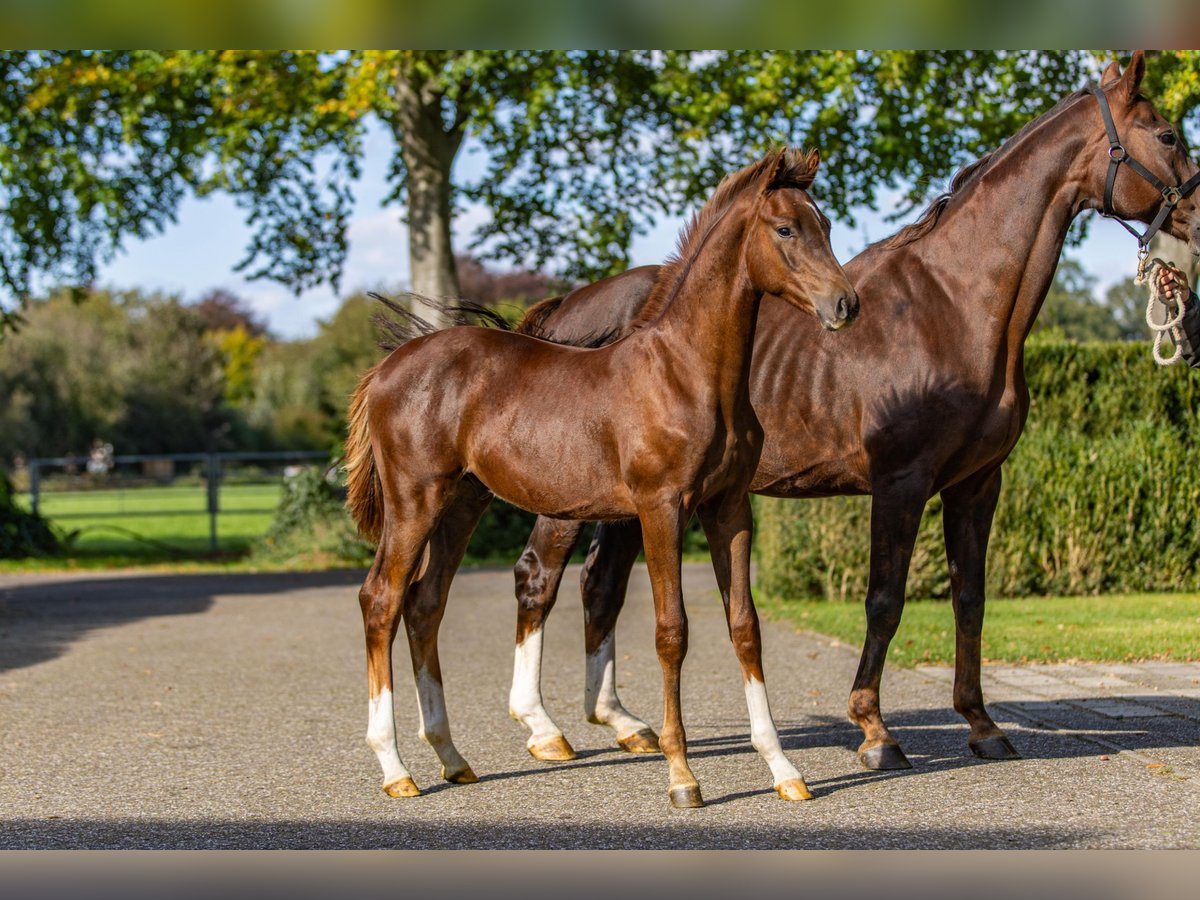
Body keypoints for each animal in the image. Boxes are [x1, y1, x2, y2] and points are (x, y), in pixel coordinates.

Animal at [343, 148, 859, 811]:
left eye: (826, 224)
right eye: (786, 229)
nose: (845, 305)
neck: (687, 371)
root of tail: (387, 368)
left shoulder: (728, 508)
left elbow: (745, 627)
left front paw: (783, 768)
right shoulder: (662, 507)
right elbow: (672, 631)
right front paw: (682, 776)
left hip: (461, 503)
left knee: (425, 602)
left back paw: (451, 757)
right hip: (415, 500)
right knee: (381, 600)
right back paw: (396, 767)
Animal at [499, 51, 1200, 768]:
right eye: (1168, 134)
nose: (1198, 218)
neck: (953, 304)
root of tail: (565, 311)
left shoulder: (977, 484)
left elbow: (970, 598)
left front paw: (981, 723)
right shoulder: (901, 482)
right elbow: (884, 600)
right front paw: (874, 731)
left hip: (632, 504)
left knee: (601, 585)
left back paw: (622, 721)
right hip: (574, 497)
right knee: (538, 578)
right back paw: (543, 728)